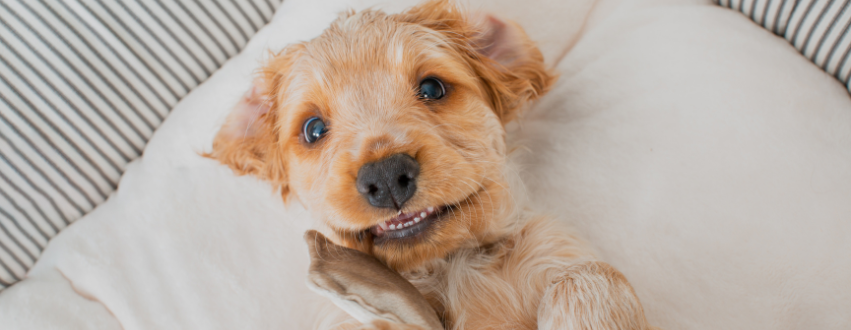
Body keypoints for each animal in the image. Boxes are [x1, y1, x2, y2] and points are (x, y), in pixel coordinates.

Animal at [210, 1, 656, 328]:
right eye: (313, 129)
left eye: (432, 88)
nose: (387, 177)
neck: (445, 265)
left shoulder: (554, 249)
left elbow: (591, 276)